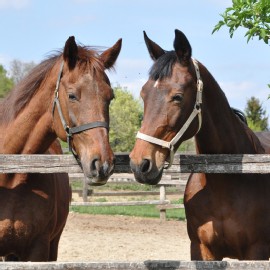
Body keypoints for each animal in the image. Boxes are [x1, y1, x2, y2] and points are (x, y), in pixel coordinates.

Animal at [130, 30, 270, 260]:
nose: (139, 164)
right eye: (144, 94)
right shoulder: (201, 249)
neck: (225, 183)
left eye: (177, 97)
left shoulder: (256, 252)